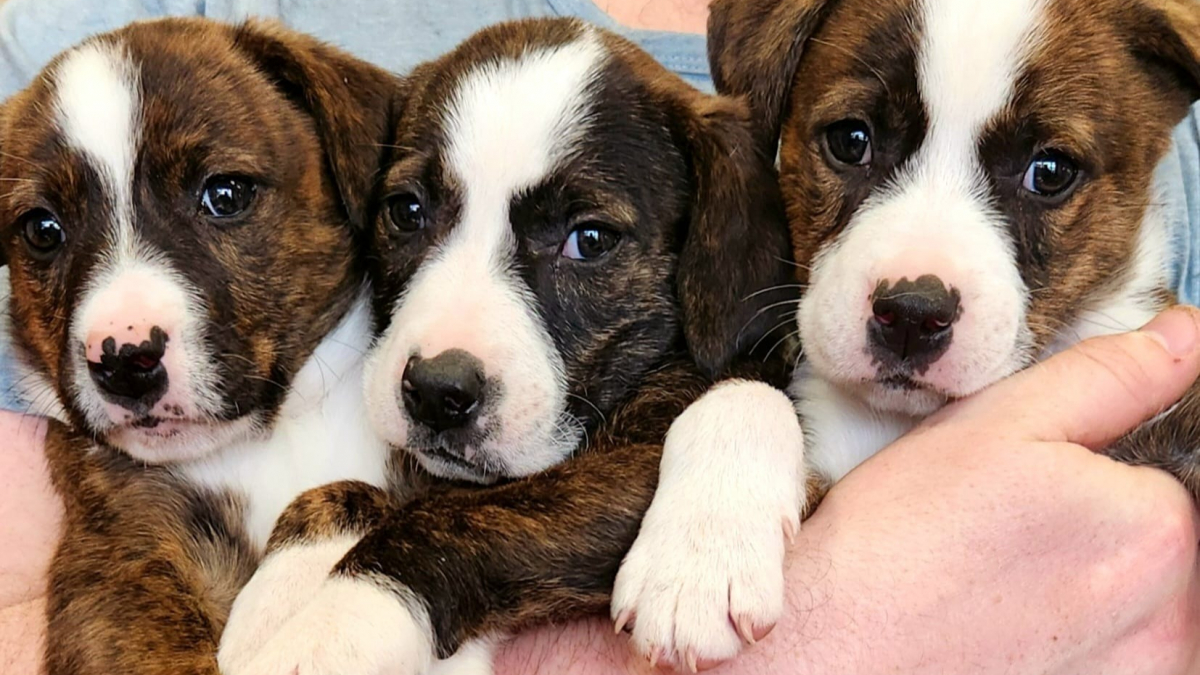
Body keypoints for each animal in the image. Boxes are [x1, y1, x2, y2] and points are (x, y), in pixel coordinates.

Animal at [0, 17, 403, 672]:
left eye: (226, 195)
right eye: (42, 230)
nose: (125, 362)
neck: (267, 439)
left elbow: (353, 491)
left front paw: (275, 606)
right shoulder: (115, 567)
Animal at [218, 17, 796, 675]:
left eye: (590, 239)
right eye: (406, 211)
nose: (435, 391)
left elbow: (445, 525)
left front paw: (327, 635)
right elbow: (352, 489)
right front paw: (276, 597)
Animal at [609, 0, 1200, 662]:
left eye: (1050, 172)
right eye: (850, 140)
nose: (913, 316)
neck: (903, 420)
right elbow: (744, 398)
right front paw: (696, 560)